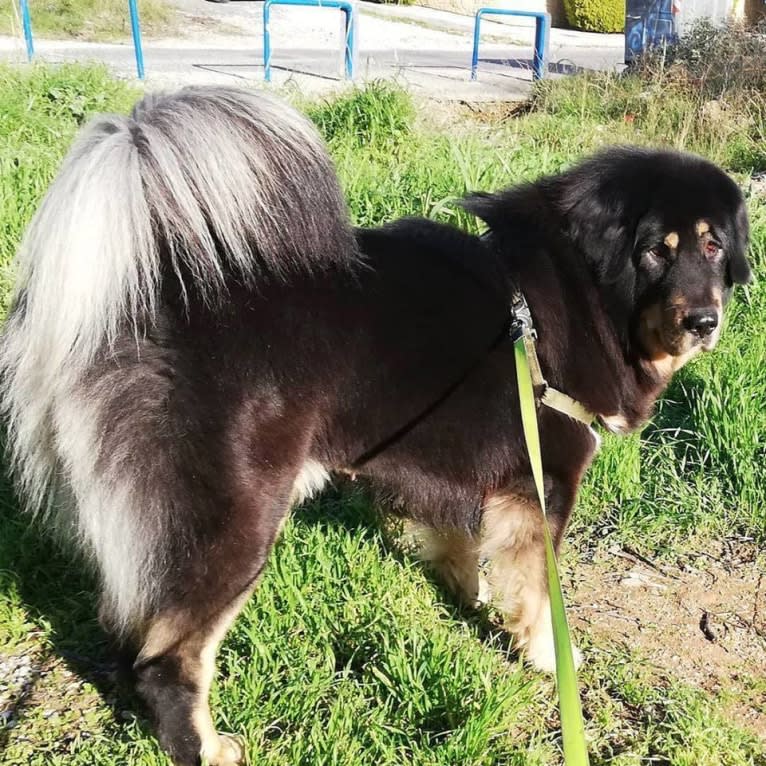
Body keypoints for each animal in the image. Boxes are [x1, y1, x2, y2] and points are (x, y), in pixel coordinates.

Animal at [0, 87, 752, 766]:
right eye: (656, 250)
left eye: (714, 247)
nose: (704, 320)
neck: (577, 293)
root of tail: (136, 283)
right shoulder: (543, 485)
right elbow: (539, 594)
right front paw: (545, 657)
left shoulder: (454, 470)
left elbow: (456, 538)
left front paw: (468, 592)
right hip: (236, 520)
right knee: (168, 657)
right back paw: (205, 748)